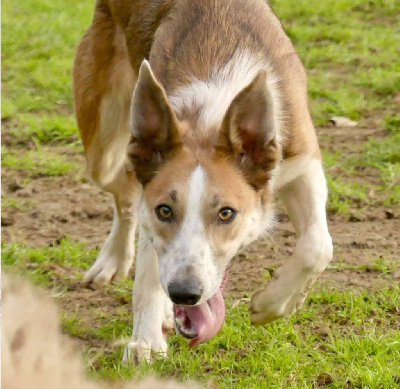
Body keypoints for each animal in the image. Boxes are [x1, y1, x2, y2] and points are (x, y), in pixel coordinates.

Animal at [72, 0, 334, 364]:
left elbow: (318, 245)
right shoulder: (151, 206)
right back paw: (114, 262)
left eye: (226, 214)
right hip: (103, 148)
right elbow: (147, 276)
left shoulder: (301, 162)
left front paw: (273, 304)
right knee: (124, 198)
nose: (184, 294)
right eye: (165, 210)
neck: (213, 112)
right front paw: (144, 341)